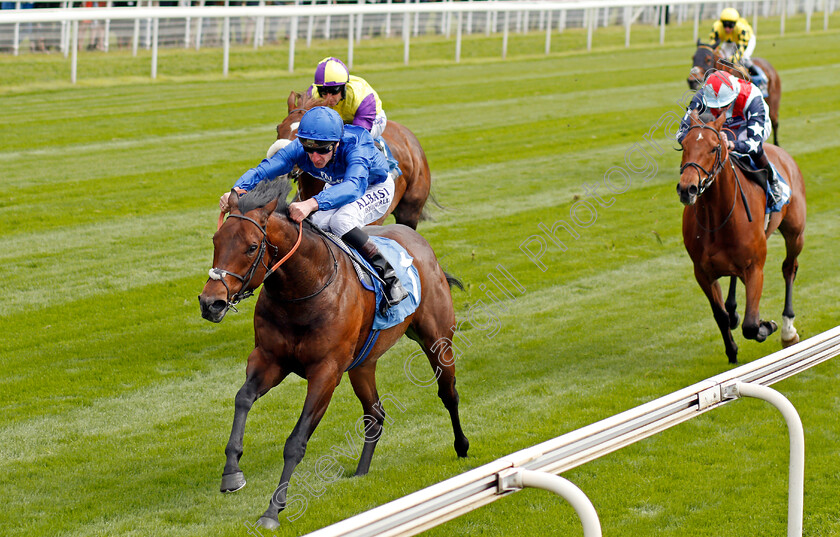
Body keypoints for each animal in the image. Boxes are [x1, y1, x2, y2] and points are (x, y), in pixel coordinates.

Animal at [199, 176, 470, 528]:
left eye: (252, 246)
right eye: (216, 240)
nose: (211, 303)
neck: (304, 289)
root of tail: (419, 241)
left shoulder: (326, 372)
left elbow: (296, 441)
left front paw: (273, 509)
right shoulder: (269, 359)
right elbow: (242, 398)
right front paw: (232, 473)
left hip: (437, 340)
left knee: (448, 392)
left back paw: (462, 446)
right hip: (362, 364)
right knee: (375, 415)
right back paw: (361, 471)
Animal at [676, 111, 808, 364]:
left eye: (714, 147)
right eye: (684, 145)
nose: (687, 189)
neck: (716, 220)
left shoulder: (755, 267)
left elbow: (751, 325)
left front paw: (767, 325)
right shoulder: (702, 272)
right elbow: (721, 315)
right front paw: (732, 352)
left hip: (795, 233)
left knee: (789, 268)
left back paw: (788, 330)